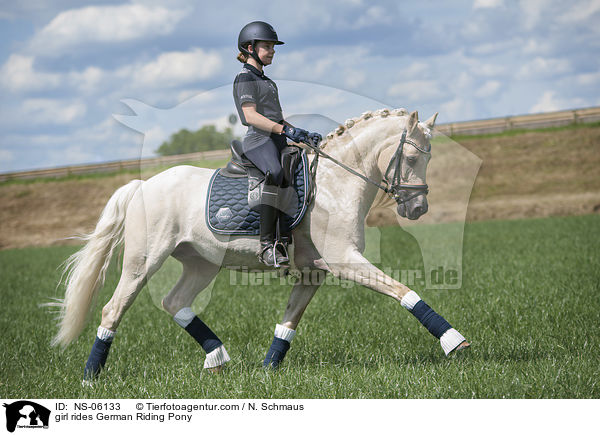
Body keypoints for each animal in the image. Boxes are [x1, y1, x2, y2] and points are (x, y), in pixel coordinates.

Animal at [50, 108, 468, 378]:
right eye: (411, 157)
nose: (417, 208)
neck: (334, 185)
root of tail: (141, 186)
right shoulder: (345, 260)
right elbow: (403, 291)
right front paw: (454, 341)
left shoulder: (315, 272)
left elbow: (288, 321)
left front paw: (267, 371)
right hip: (143, 261)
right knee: (113, 309)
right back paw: (91, 376)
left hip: (202, 263)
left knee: (174, 301)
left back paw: (217, 355)